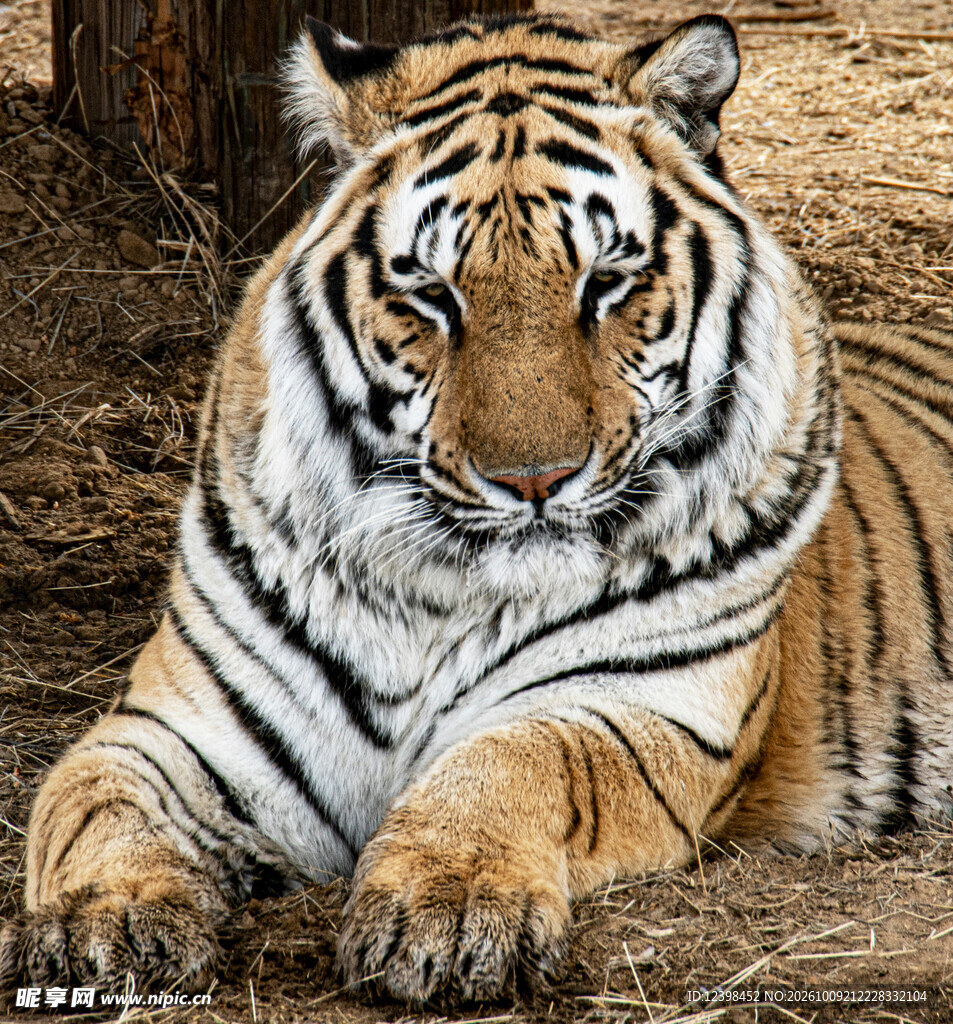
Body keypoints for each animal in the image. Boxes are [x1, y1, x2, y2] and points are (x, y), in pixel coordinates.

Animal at [3, 9, 953, 1006]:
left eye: (605, 283)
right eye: (431, 295)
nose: (534, 479)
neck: (438, 596)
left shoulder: (643, 707)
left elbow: (510, 766)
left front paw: (448, 908)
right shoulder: (176, 730)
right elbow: (90, 802)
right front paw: (103, 919)